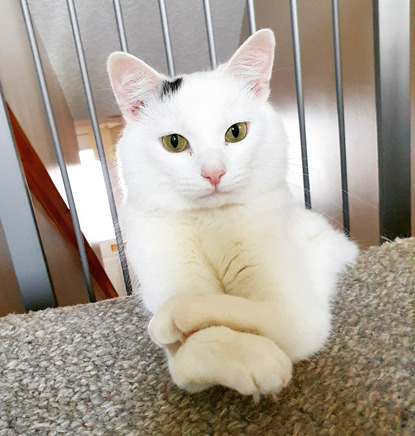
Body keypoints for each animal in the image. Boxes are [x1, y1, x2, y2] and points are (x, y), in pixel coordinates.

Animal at [107, 29, 358, 398]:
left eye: (236, 132)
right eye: (174, 142)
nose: (214, 173)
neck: (209, 224)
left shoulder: (300, 317)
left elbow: (228, 306)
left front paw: (175, 316)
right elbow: (188, 359)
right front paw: (254, 359)